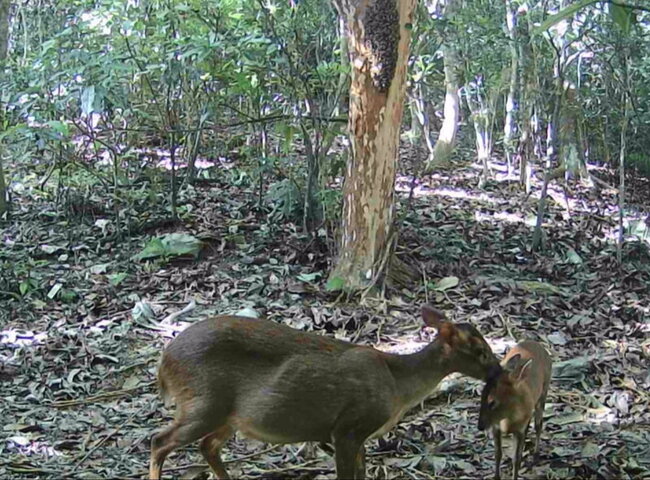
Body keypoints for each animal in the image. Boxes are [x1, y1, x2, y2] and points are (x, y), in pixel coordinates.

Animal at [149, 306, 498, 478]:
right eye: (480, 351)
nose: (498, 371)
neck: (397, 384)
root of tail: (164, 363)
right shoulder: (347, 427)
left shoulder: (359, 435)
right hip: (204, 403)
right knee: (159, 441)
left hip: (229, 416)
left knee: (206, 446)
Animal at [478, 340, 548, 478]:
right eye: (481, 397)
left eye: (492, 402)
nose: (480, 426)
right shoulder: (496, 427)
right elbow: (497, 454)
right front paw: (496, 476)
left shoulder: (519, 429)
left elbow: (516, 458)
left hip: (543, 393)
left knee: (538, 425)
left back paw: (536, 455)